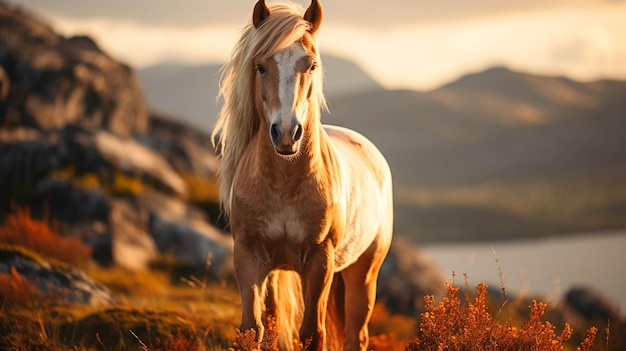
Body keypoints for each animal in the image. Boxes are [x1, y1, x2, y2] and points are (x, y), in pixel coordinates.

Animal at [212, 1, 392, 350]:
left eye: (311, 65)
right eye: (260, 66)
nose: (286, 134)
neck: (284, 185)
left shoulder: (319, 262)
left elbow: (312, 333)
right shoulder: (248, 256)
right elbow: (252, 329)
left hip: (363, 273)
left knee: (356, 334)